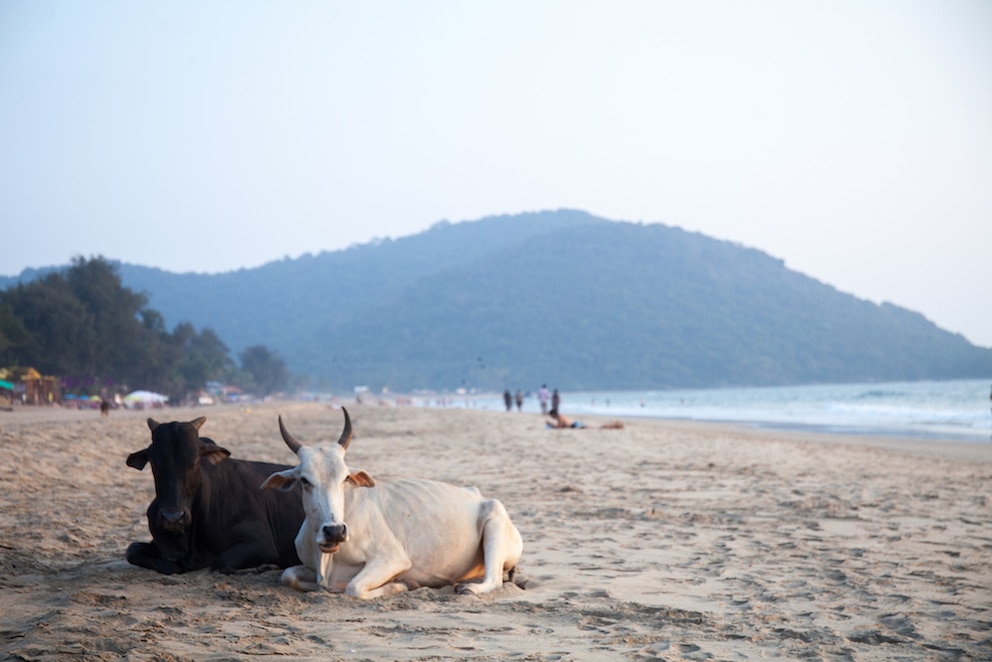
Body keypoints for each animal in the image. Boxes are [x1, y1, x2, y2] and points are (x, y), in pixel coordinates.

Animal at [126, 418, 302, 572]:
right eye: (154, 463)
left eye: (195, 461)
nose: (173, 518)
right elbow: (132, 550)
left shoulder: (261, 543)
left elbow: (221, 562)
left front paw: (264, 567)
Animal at [262, 410, 528, 600]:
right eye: (305, 481)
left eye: (345, 478)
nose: (335, 531)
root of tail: (479, 496)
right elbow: (288, 576)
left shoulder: (393, 559)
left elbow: (354, 587)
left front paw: (400, 584)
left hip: (494, 523)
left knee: (494, 578)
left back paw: (469, 589)